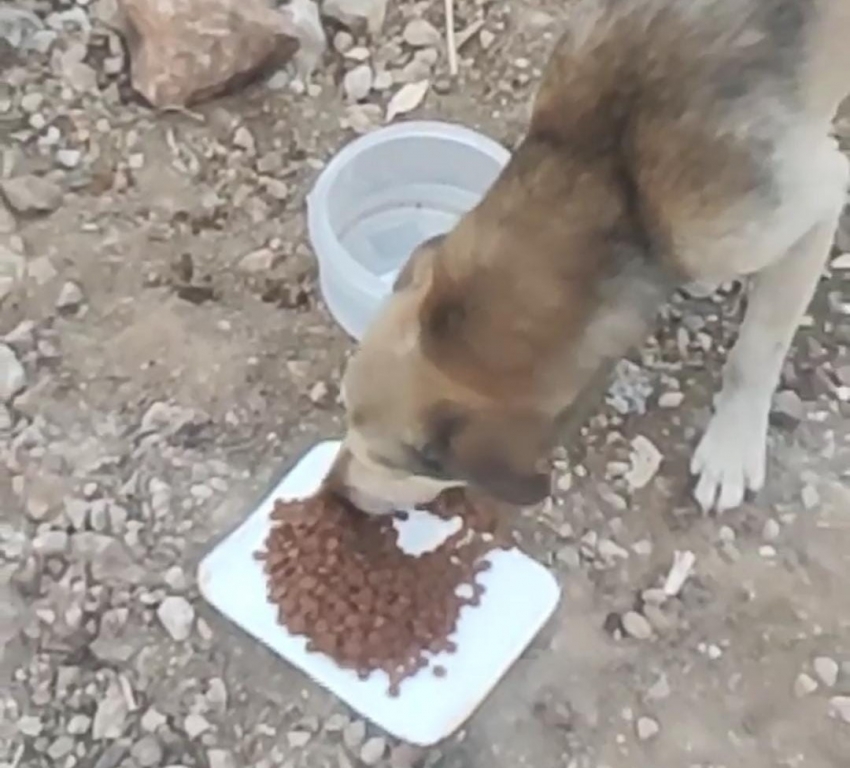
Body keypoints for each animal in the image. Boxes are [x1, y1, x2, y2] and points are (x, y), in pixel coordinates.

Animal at [322, 1, 848, 516]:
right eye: (343, 412)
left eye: (404, 463)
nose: (335, 490)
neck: (604, 176)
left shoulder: (815, 201)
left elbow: (757, 350)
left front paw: (731, 447)